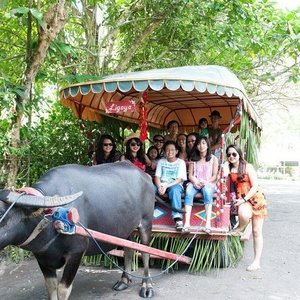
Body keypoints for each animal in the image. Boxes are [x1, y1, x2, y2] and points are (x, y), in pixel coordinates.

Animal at [0, 163, 155, 298]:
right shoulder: (42, 257)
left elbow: (63, 289)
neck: (52, 216)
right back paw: (124, 280)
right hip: (126, 228)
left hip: (146, 222)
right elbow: (51, 288)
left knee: (146, 251)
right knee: (129, 248)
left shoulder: (76, 252)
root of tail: (146, 177)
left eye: (1, 212)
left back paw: (147, 286)